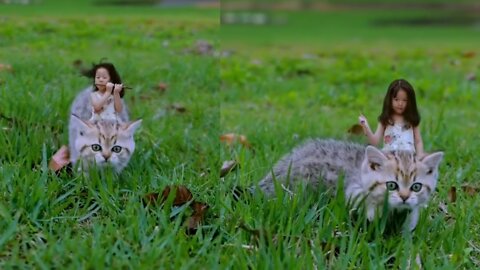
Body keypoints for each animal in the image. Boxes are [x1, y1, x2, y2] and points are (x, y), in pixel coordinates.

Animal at [256, 139, 444, 230]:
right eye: (391, 185)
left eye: (416, 187)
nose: (404, 197)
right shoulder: (353, 189)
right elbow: (362, 200)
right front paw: (374, 214)